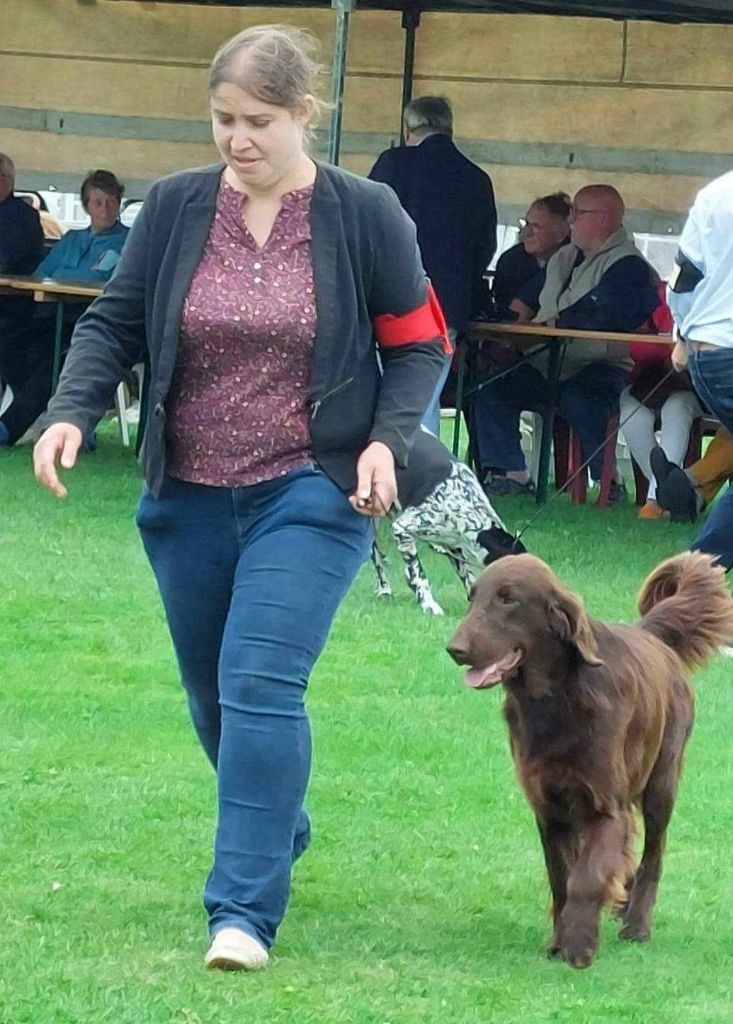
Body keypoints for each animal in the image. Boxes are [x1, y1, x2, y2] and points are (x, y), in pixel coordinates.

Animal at [372, 428, 522, 610]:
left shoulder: (454, 546)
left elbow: (467, 576)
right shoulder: (401, 528)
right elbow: (418, 574)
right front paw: (428, 603)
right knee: (377, 558)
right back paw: (384, 589)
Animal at [446, 552, 733, 966]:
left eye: (508, 599)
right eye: (473, 596)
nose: (455, 649)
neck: (555, 701)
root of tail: (651, 635)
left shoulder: (604, 806)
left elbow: (586, 877)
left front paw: (579, 945)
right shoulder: (549, 811)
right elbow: (562, 879)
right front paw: (561, 939)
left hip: (662, 781)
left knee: (653, 852)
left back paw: (637, 924)